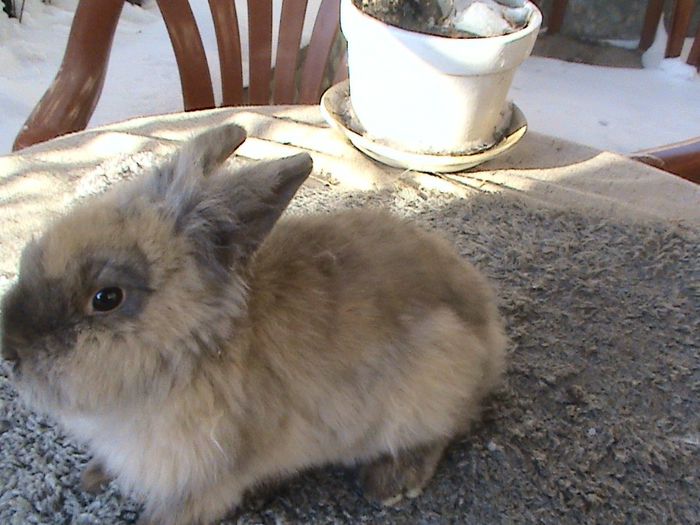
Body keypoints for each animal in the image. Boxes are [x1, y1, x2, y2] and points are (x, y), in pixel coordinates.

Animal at [0, 124, 504, 524]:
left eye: (106, 298)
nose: (8, 350)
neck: (194, 349)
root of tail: (488, 328)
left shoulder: (205, 480)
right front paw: (92, 476)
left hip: (429, 383)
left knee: (447, 429)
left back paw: (392, 484)